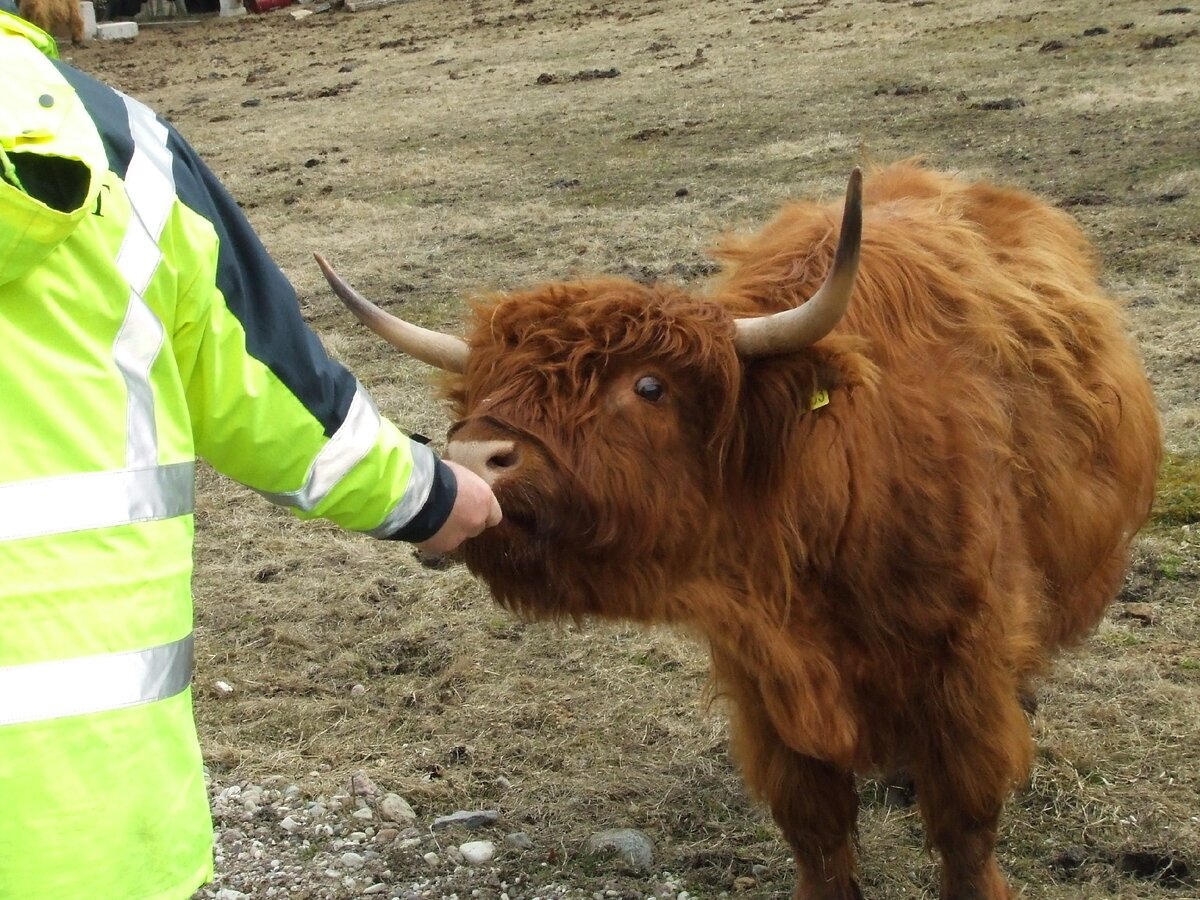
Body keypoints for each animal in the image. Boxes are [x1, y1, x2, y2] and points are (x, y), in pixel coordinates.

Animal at [316, 164, 1161, 900]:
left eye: (649, 386)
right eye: (485, 386)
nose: (469, 458)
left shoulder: (965, 666)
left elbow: (965, 825)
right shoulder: (763, 681)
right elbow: (816, 830)